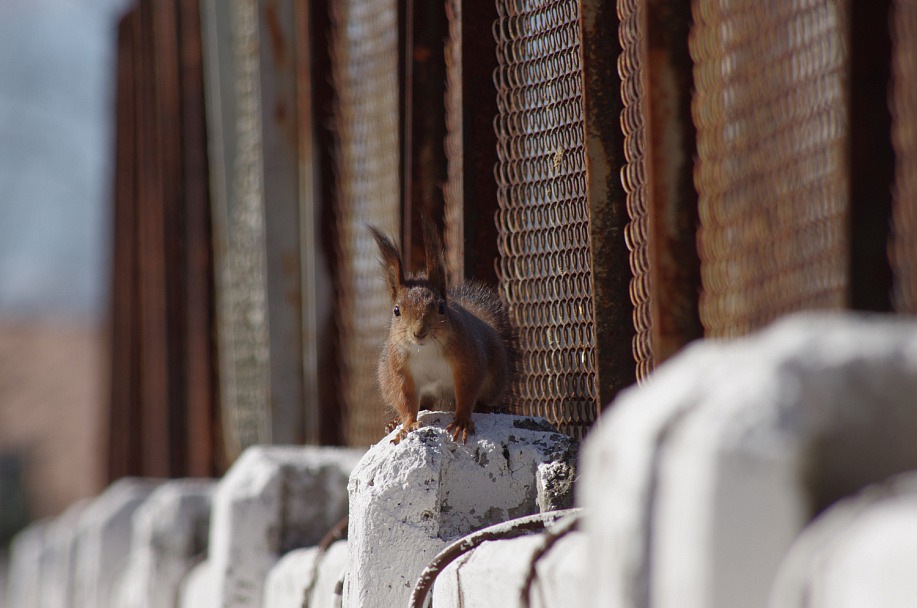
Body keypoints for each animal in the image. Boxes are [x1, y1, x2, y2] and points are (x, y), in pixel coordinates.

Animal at [372, 221, 516, 444]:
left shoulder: (467, 359)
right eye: (396, 311)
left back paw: (487, 407)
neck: (426, 349)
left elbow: (467, 390)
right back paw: (394, 422)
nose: (419, 332)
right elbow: (405, 398)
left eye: (441, 307)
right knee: (421, 404)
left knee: (482, 398)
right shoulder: (399, 368)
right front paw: (407, 425)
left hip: (495, 378)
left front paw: (462, 421)